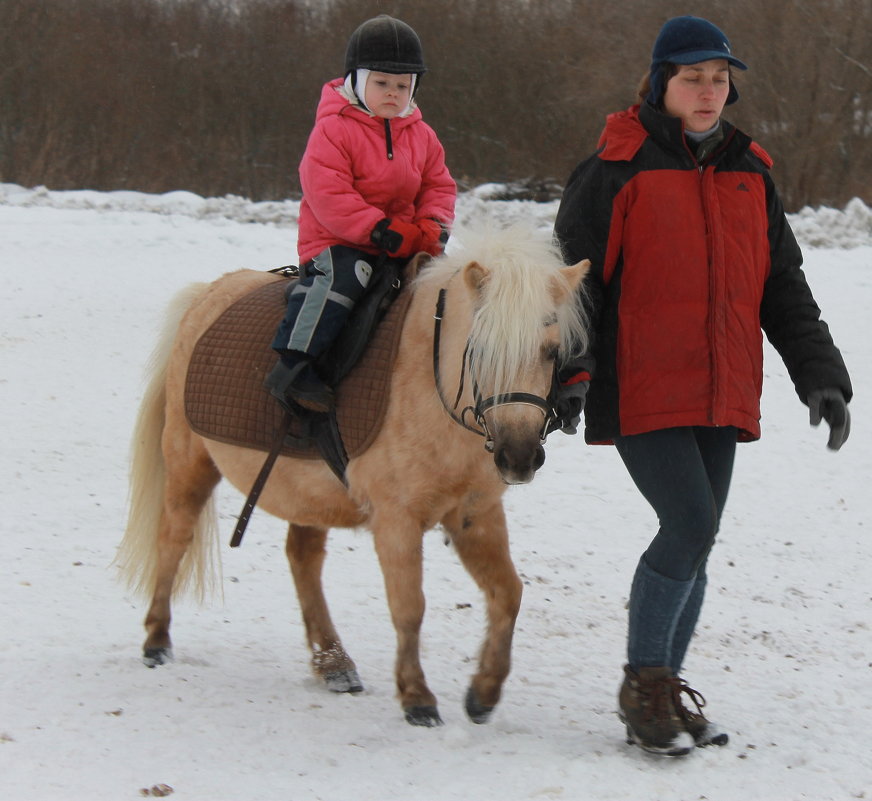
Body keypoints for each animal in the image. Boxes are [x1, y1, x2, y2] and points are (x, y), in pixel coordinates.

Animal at [117, 222, 584, 728]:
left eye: (551, 351)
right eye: (479, 350)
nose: (519, 457)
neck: (429, 381)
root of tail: (208, 293)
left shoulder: (475, 514)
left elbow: (508, 593)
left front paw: (484, 692)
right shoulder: (396, 520)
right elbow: (409, 607)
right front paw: (417, 696)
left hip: (305, 490)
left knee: (303, 560)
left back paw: (333, 663)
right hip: (190, 462)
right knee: (173, 539)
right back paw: (157, 641)